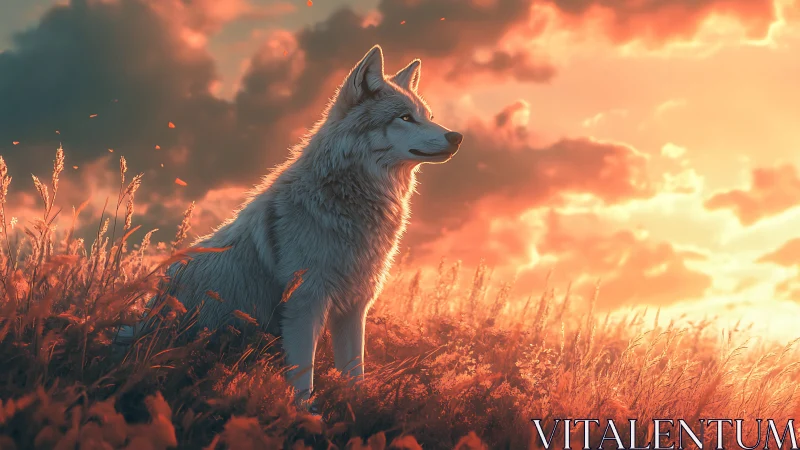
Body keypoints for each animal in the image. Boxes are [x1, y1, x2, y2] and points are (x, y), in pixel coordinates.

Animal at [123, 45, 463, 403]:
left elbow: (354, 374)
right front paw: (303, 413)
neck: (344, 199)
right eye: (405, 117)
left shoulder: (354, 307)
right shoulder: (304, 305)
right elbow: (303, 382)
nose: (457, 136)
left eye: (428, 116)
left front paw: (354, 406)